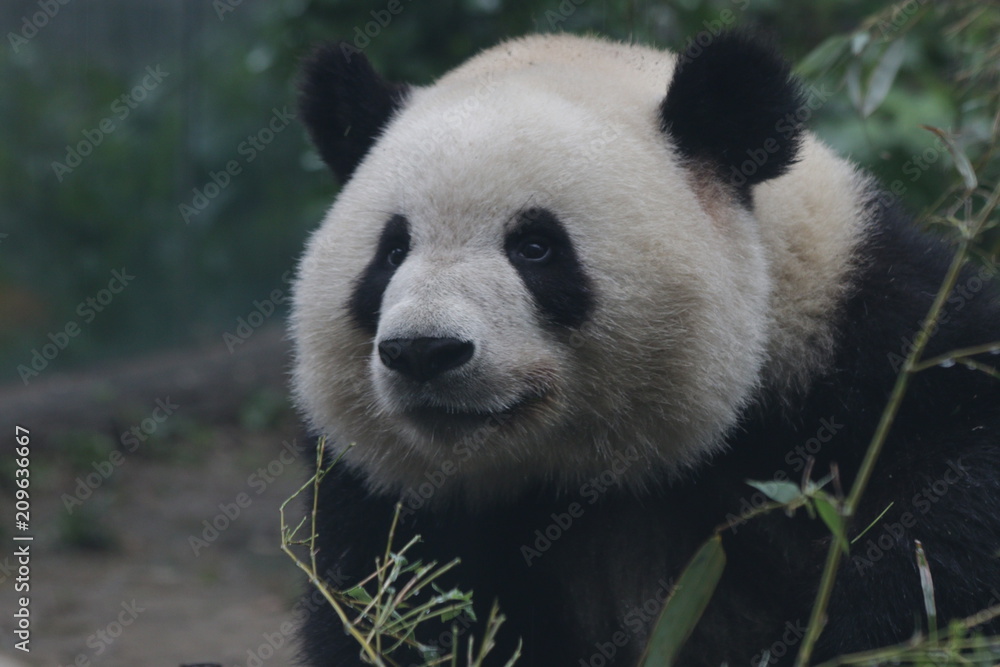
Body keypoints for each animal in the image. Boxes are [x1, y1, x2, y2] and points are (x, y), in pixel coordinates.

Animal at [290, 32, 1000, 667]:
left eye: (535, 247)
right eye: (391, 252)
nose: (424, 351)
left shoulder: (867, 345)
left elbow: (942, 529)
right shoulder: (383, 499)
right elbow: (393, 605)